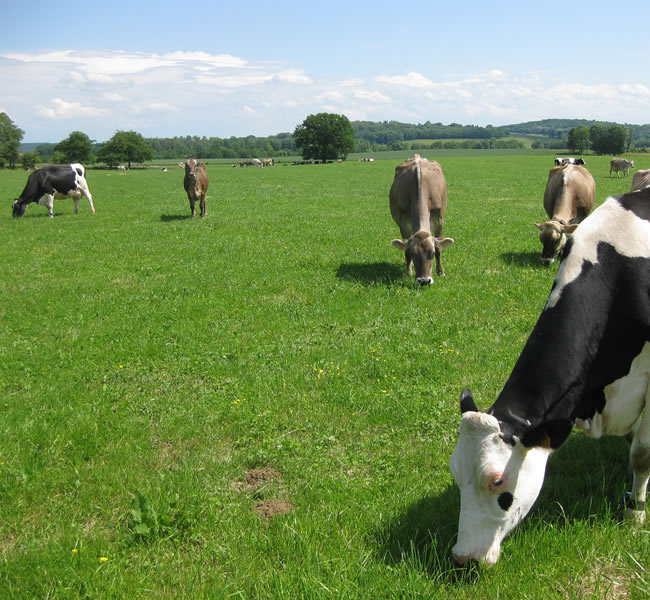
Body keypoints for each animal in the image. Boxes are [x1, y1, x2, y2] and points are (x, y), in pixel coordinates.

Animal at [388, 155, 454, 286]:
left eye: (432, 253)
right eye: (414, 254)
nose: (424, 281)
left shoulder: (439, 221)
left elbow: (439, 248)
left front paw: (441, 271)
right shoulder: (403, 223)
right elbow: (406, 249)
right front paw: (408, 272)